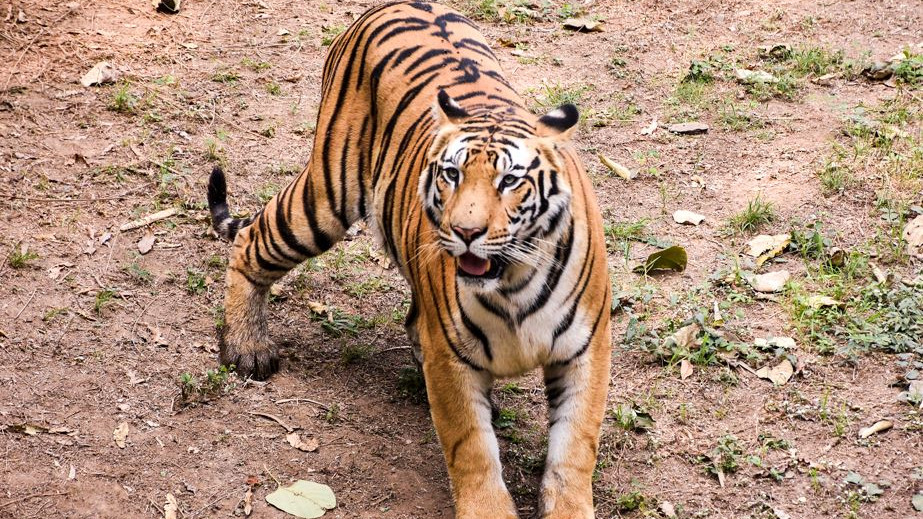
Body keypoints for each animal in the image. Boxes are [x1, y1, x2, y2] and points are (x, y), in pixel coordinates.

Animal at [206, 2, 612, 517]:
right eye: (452, 174)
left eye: (509, 181)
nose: (465, 232)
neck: (514, 282)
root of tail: (391, 5)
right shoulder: (451, 358)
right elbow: (472, 449)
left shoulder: (585, 353)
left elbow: (574, 450)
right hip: (326, 195)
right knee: (250, 240)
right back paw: (247, 347)